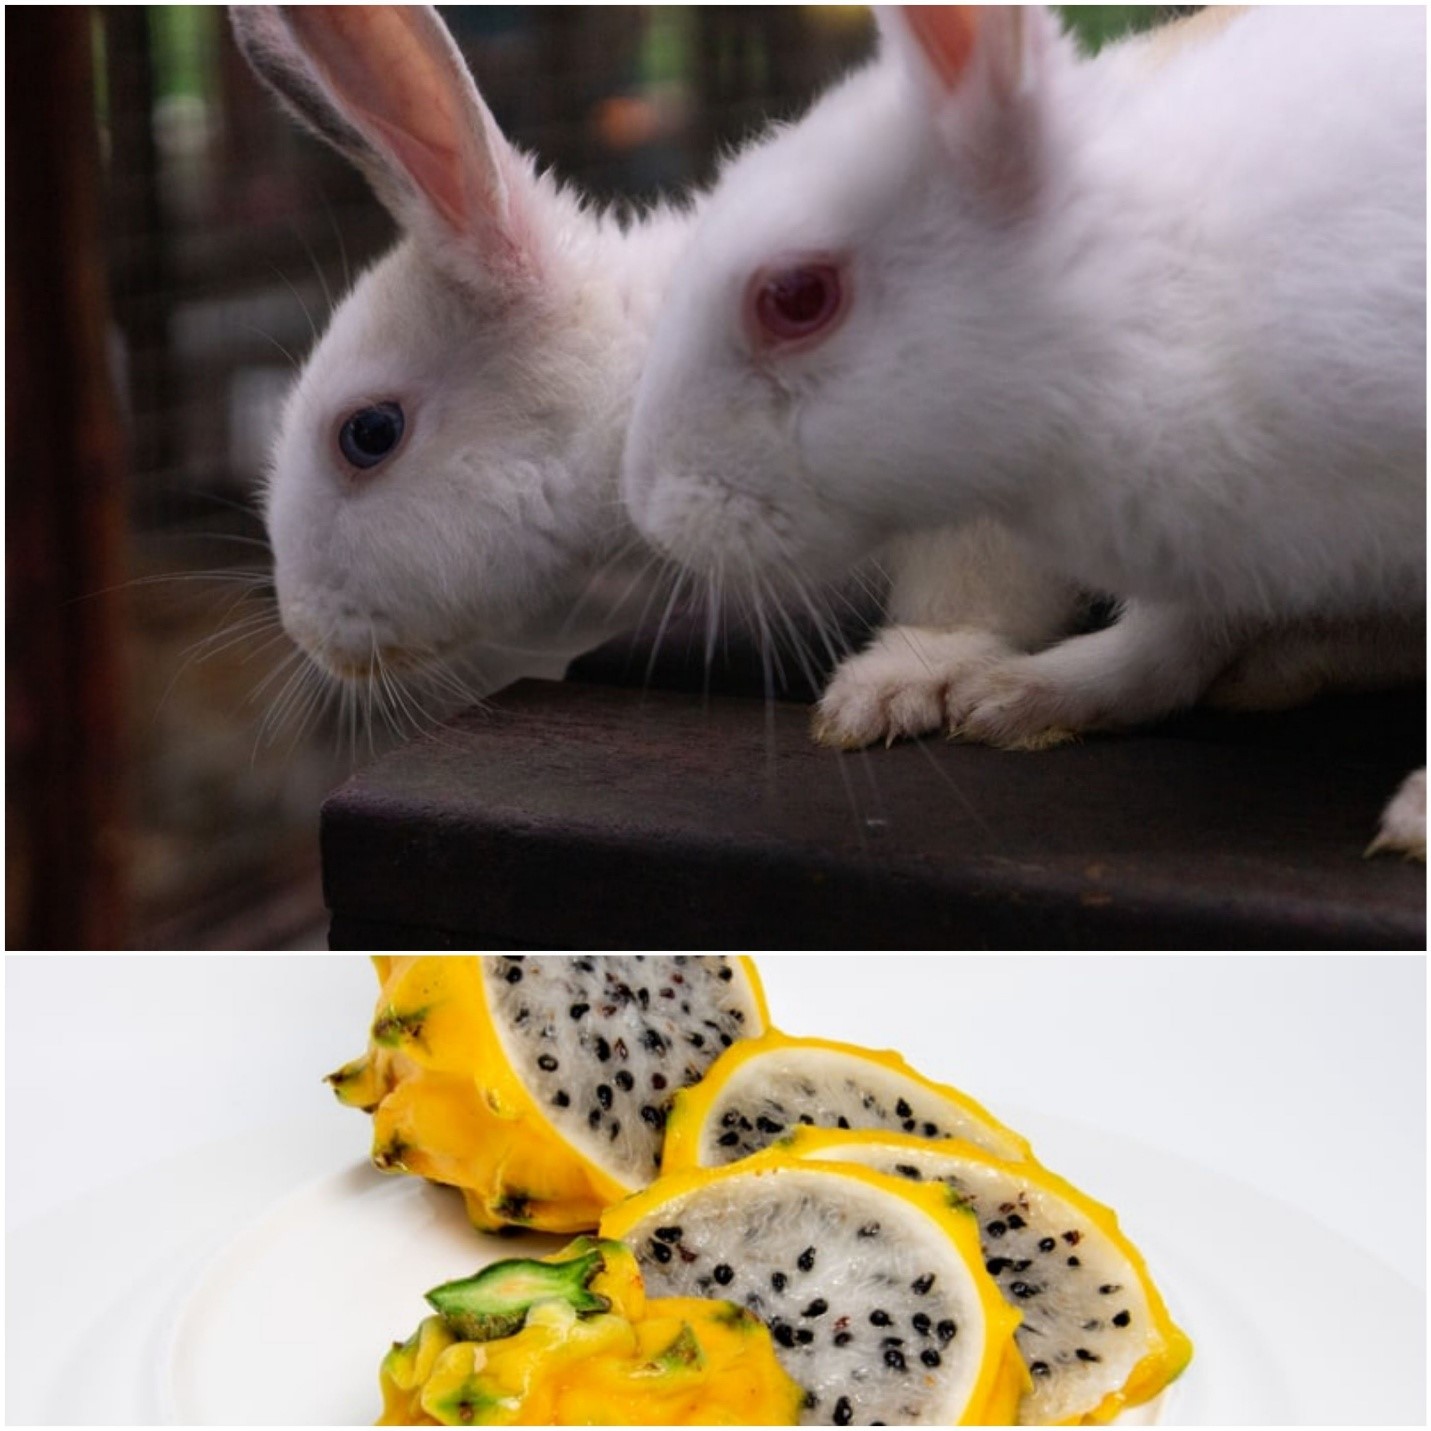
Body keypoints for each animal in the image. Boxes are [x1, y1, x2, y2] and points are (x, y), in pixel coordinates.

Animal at [619, 5, 1426, 855]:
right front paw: (1019, 698)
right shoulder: (1232, 552)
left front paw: (1416, 817)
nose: (648, 510)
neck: (1140, 313)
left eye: (796, 297)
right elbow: (1162, 651)